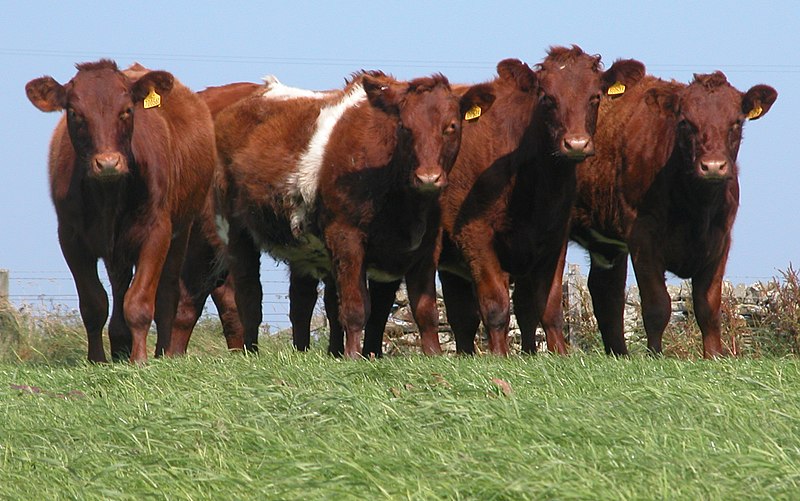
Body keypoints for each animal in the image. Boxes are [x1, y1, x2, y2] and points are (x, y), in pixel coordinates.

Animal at [26, 60, 217, 362]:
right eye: (75, 113)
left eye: (127, 110)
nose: (108, 163)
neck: (109, 194)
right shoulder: (70, 238)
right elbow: (93, 303)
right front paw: (97, 359)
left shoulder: (156, 232)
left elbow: (138, 302)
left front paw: (139, 359)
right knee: (118, 286)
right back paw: (119, 349)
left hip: (181, 231)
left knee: (166, 294)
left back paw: (162, 353)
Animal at [216, 71, 496, 360]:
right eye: (404, 127)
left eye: (451, 126)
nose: (428, 177)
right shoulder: (345, 236)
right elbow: (355, 306)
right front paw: (352, 356)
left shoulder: (428, 244)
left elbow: (425, 309)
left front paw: (433, 354)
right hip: (234, 228)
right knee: (248, 294)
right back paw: (249, 351)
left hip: (302, 249)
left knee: (301, 302)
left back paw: (301, 351)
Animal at [434, 45, 648, 354]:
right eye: (547, 98)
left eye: (595, 97)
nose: (576, 144)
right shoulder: (474, 235)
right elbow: (496, 306)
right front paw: (500, 356)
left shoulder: (554, 236)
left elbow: (547, 306)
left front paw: (556, 354)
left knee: (461, 316)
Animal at [552, 72, 776, 358]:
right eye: (685, 122)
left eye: (736, 122)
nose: (713, 166)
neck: (697, 208)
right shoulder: (642, 237)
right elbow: (657, 305)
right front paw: (655, 355)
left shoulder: (721, 240)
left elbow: (708, 307)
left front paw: (714, 356)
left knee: (606, 294)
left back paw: (619, 355)